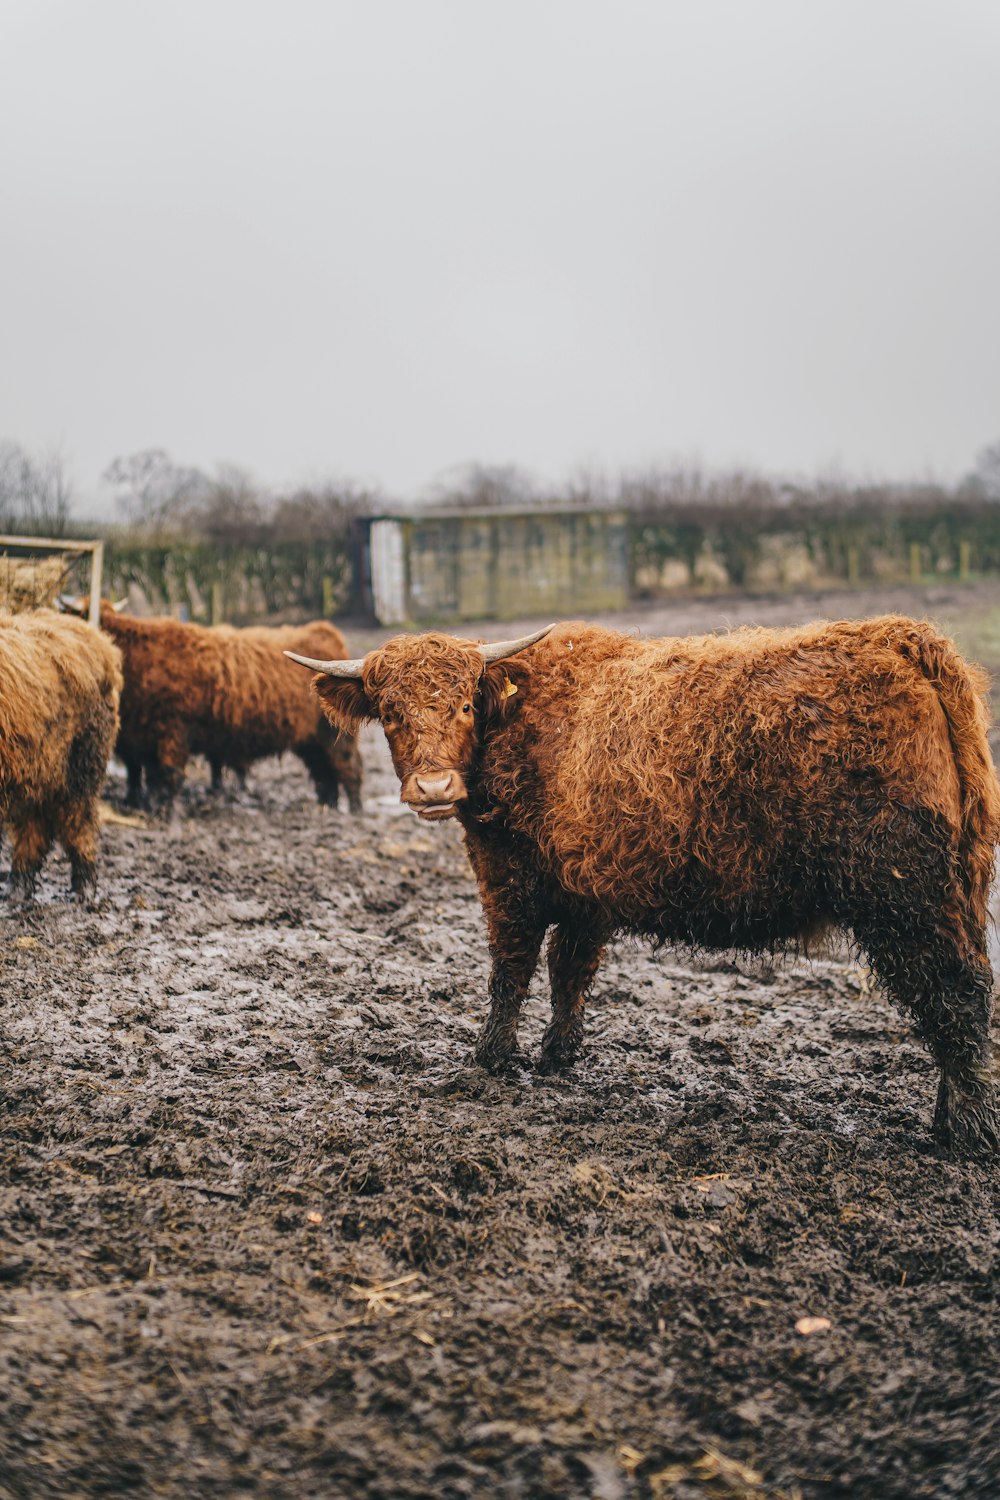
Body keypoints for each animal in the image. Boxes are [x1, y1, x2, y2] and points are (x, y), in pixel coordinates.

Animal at [0, 606, 124, 894]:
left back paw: (85, 889)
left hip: (82, 770)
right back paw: (18, 886)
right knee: (34, 828)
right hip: (36, 770)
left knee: (80, 825)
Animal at [61, 600, 364, 822]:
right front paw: (139, 804)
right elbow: (144, 775)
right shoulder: (137, 737)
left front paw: (163, 812)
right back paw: (327, 805)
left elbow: (169, 775)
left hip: (334, 735)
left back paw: (354, 810)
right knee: (324, 772)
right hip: (311, 740)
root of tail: (323, 630)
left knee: (349, 766)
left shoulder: (173, 731)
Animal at [287, 618, 1000, 1158]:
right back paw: (948, 1120)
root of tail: (898, 637)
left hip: (906, 897)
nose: (434, 787)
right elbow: (569, 969)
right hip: (956, 889)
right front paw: (558, 1054)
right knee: (963, 997)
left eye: (464, 704)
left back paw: (964, 1136)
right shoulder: (585, 887)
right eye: (391, 713)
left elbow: (510, 965)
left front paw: (490, 1058)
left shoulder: (508, 873)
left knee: (955, 999)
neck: (519, 718)